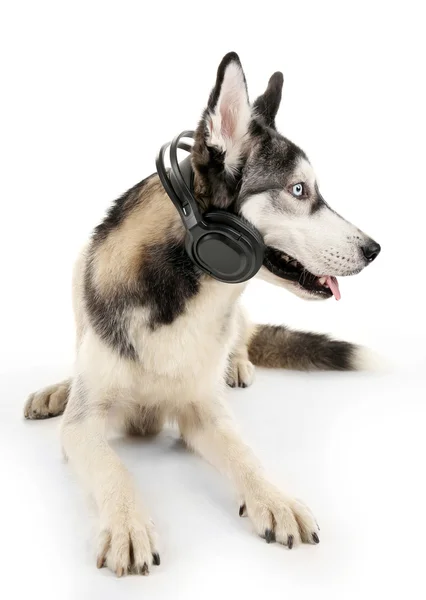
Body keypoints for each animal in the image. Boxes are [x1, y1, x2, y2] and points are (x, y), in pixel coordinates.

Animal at [25, 52, 382, 576]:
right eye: (299, 190)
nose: (375, 250)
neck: (186, 290)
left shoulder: (204, 413)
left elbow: (244, 453)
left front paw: (273, 499)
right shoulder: (83, 427)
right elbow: (113, 467)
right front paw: (128, 524)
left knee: (242, 339)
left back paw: (236, 364)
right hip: (77, 276)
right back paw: (58, 390)